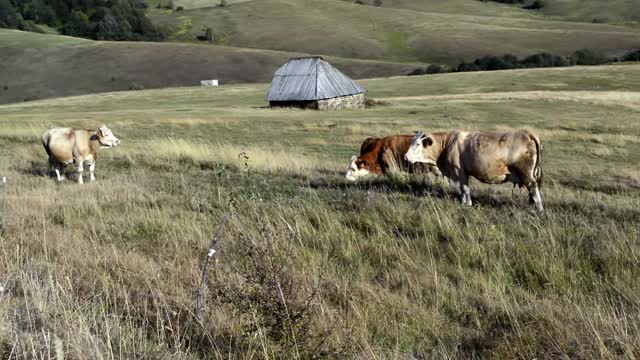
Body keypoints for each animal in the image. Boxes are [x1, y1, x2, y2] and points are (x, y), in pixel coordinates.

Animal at [402, 129, 544, 210]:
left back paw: (539, 209)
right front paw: (464, 202)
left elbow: (465, 189)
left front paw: (468, 204)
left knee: (533, 188)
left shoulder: (460, 171)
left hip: (525, 173)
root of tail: (527, 133)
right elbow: (463, 189)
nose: (405, 157)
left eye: (418, 144)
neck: (447, 143)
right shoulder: (463, 174)